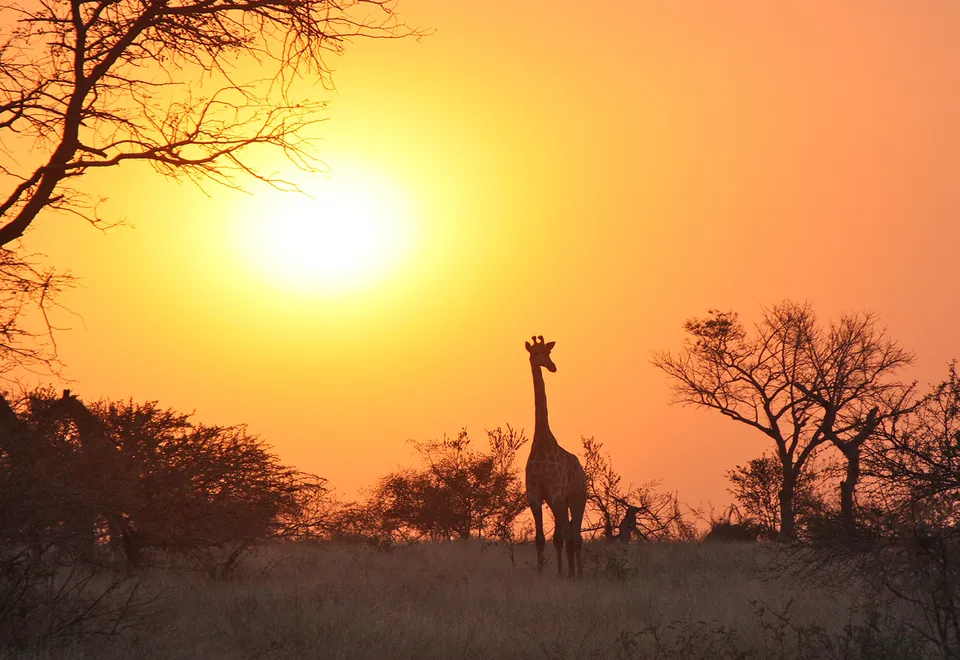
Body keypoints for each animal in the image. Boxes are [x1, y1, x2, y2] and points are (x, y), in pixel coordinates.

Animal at [524, 335, 587, 577]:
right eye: (536, 353)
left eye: (548, 352)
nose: (552, 366)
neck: (542, 441)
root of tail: (582, 470)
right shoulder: (535, 495)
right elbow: (541, 539)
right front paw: (542, 575)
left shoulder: (557, 494)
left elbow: (567, 537)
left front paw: (570, 576)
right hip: (559, 502)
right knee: (563, 537)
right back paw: (565, 573)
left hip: (578, 498)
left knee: (576, 537)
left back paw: (577, 574)